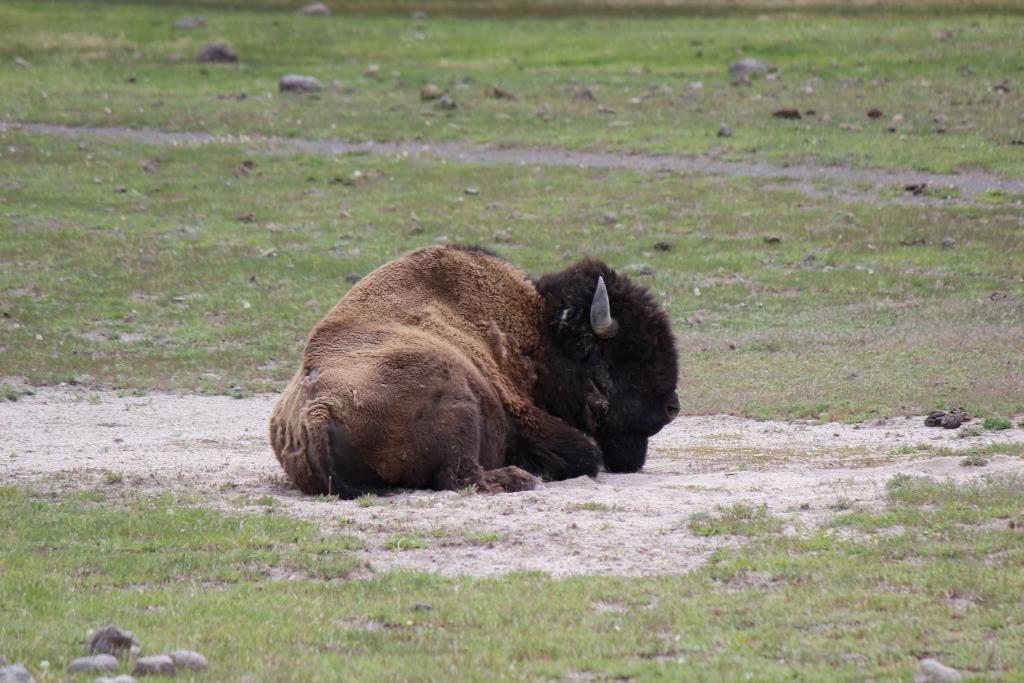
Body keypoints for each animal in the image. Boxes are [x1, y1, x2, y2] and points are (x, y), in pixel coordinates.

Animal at [270, 245, 679, 497]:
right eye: (632, 352)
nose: (672, 408)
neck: (537, 332)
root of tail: (317, 412)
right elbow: (587, 452)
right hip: (457, 394)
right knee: (462, 476)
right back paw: (520, 478)